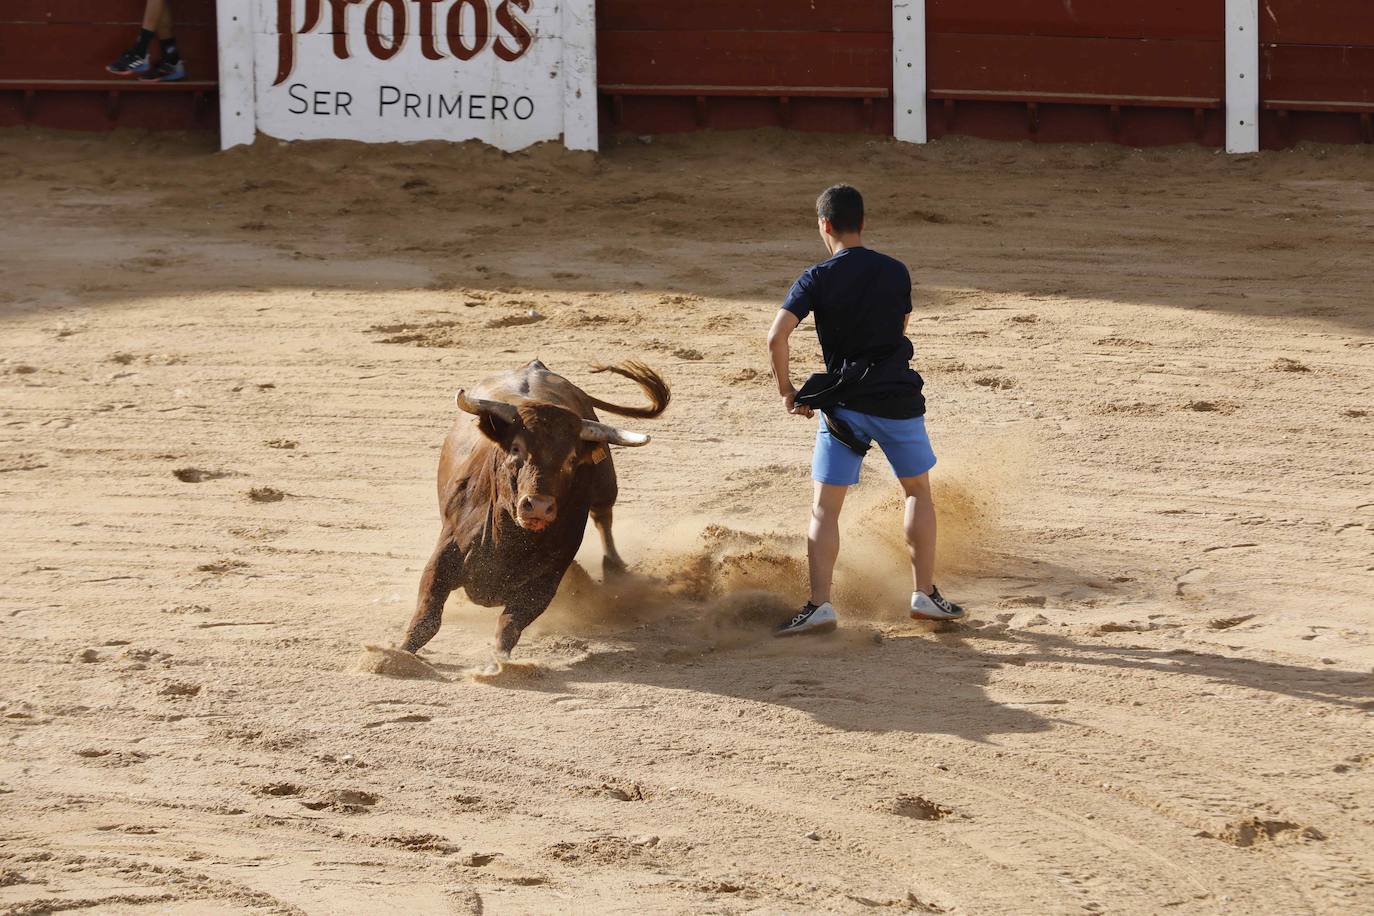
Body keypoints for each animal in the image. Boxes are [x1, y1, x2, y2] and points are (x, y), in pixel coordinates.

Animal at [398, 359, 670, 667]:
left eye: (571, 459)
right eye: (516, 448)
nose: (538, 505)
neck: (509, 540)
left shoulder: (545, 581)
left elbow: (509, 625)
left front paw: (498, 664)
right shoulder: (446, 553)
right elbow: (427, 616)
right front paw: (396, 653)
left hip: (605, 482)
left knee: (603, 515)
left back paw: (615, 568)